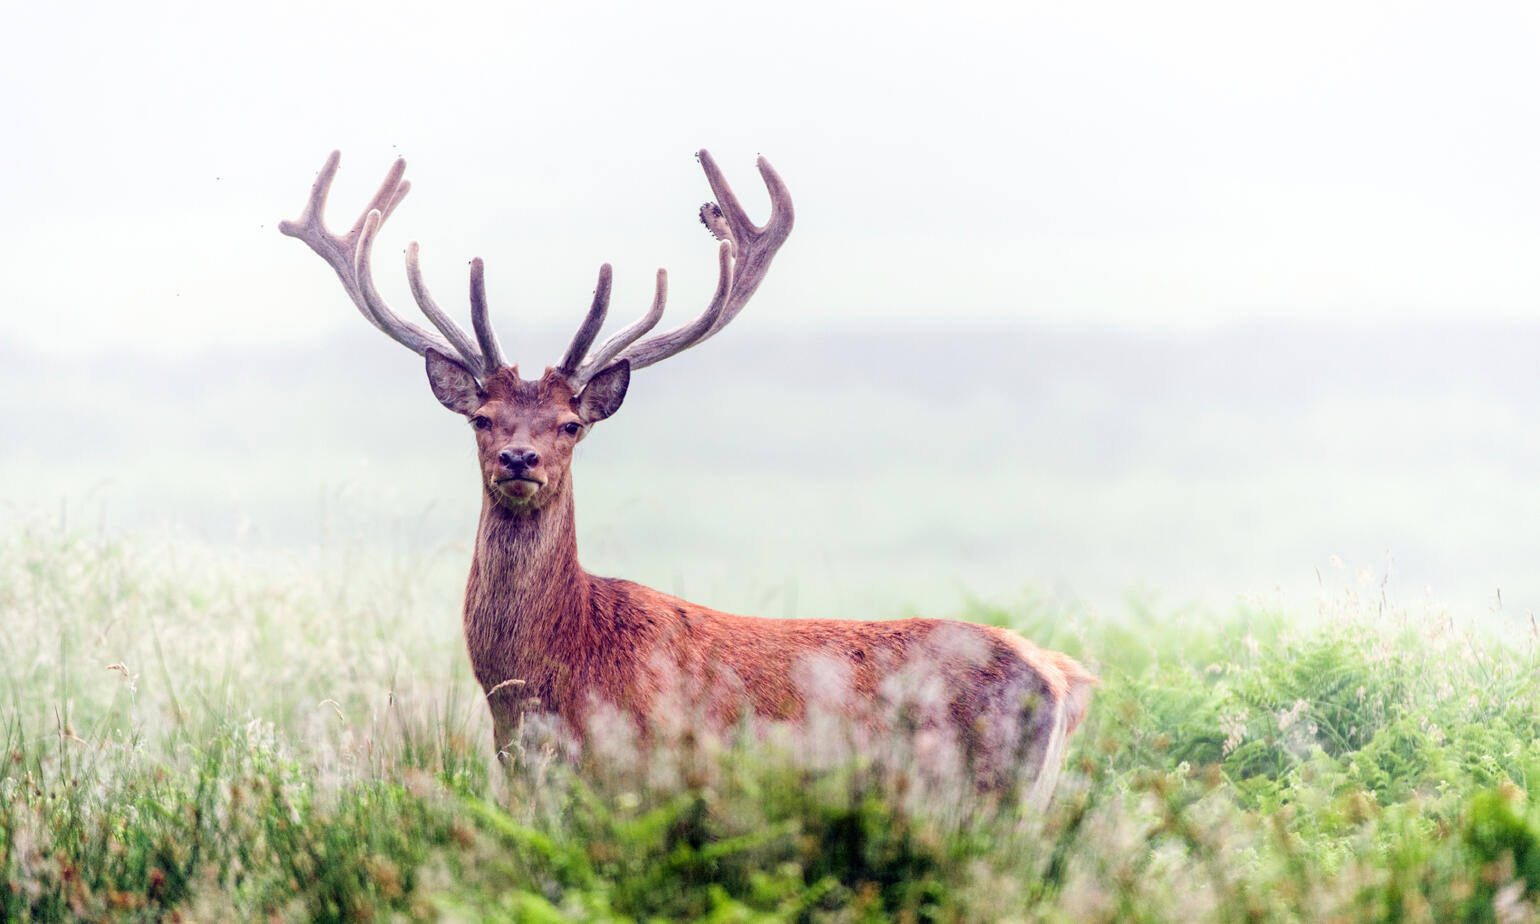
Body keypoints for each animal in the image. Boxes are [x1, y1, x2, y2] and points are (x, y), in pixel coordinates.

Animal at [279, 149, 1095, 807]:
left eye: (570, 425)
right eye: (482, 418)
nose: (519, 459)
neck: (545, 684)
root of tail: (1060, 674)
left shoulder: (638, 776)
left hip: (991, 793)